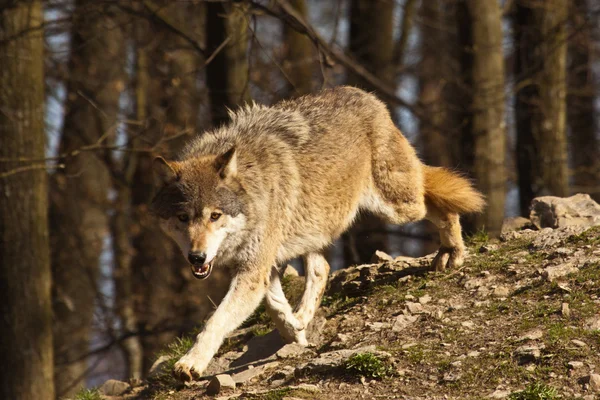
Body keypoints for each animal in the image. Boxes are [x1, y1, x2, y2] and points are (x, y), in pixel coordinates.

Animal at [150, 86, 482, 380]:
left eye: (215, 216)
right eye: (183, 217)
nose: (196, 257)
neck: (253, 186)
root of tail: (364, 94)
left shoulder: (254, 268)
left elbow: (216, 321)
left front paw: (191, 363)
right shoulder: (258, 265)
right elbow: (275, 305)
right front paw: (294, 330)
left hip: (398, 207)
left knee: (436, 200)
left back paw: (452, 252)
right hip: (316, 228)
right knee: (322, 268)